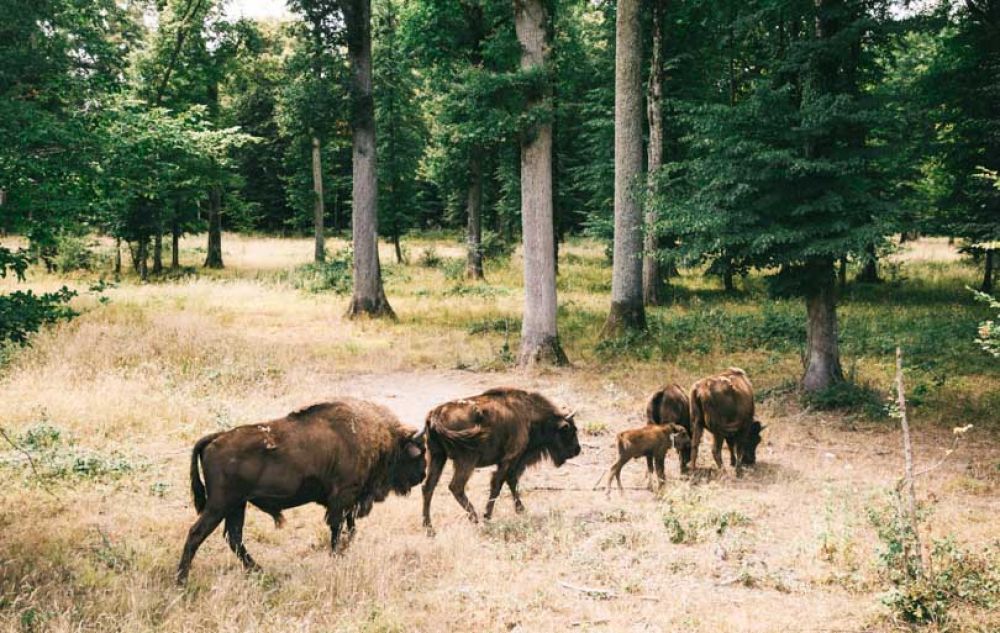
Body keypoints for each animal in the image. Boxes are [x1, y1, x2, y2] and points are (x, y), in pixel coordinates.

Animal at [177, 400, 426, 584]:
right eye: (418, 453)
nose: (422, 475)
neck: (381, 437)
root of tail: (215, 438)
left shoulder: (348, 503)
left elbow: (350, 528)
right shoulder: (343, 498)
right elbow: (338, 529)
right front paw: (336, 555)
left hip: (237, 505)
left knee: (234, 538)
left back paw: (258, 570)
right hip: (220, 505)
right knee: (196, 534)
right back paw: (182, 581)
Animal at [420, 388, 580, 532]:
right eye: (571, 430)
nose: (577, 450)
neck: (528, 414)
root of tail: (436, 414)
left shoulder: (512, 462)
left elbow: (510, 482)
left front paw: (520, 510)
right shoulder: (510, 459)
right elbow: (499, 484)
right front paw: (488, 515)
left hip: (437, 456)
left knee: (428, 487)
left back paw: (429, 528)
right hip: (466, 460)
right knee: (455, 486)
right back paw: (474, 518)